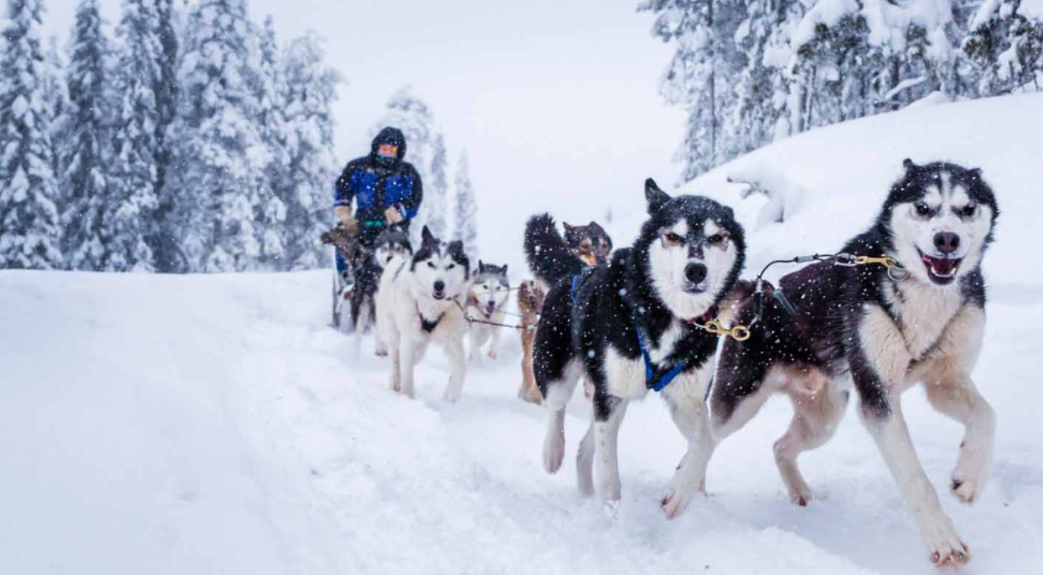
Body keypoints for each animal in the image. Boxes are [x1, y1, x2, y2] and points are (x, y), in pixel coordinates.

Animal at [529, 179, 742, 517]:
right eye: (673, 235)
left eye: (717, 237)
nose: (696, 270)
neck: (665, 313)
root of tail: (575, 272)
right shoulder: (611, 395)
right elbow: (608, 471)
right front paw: (613, 517)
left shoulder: (687, 400)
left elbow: (706, 440)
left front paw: (680, 491)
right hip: (561, 370)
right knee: (556, 406)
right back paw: (553, 450)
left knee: (586, 445)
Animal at [709, 160, 1001, 567]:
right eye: (923, 207)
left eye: (967, 208)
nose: (947, 239)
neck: (926, 296)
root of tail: (758, 292)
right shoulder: (878, 399)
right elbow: (915, 477)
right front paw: (943, 539)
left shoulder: (945, 382)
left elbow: (987, 417)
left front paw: (969, 478)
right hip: (737, 405)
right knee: (703, 437)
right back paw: (688, 492)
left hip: (824, 419)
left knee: (780, 446)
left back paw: (798, 490)